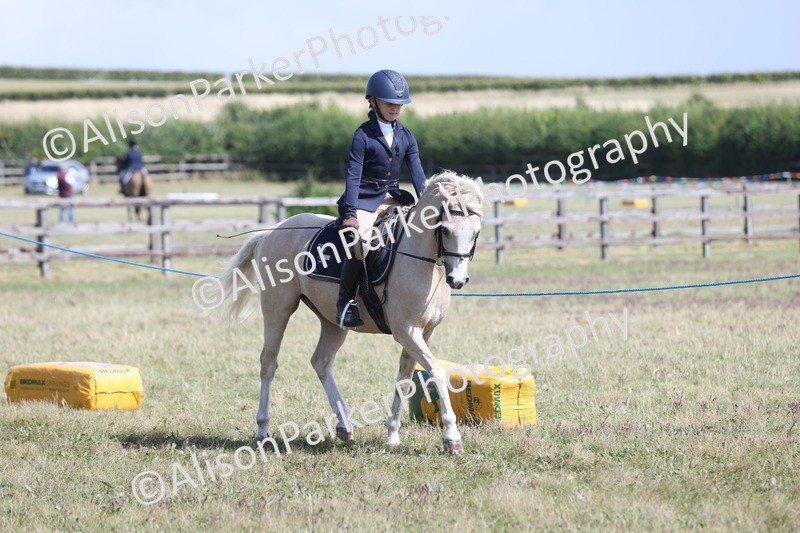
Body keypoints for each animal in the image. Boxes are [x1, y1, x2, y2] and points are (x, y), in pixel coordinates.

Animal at [216, 171, 484, 454]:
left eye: (476, 232)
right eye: (445, 229)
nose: (457, 280)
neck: (421, 262)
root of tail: (272, 232)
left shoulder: (424, 332)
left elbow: (405, 379)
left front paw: (392, 435)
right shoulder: (406, 331)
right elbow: (437, 372)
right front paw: (452, 437)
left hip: (332, 322)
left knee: (321, 362)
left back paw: (344, 426)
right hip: (278, 310)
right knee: (269, 363)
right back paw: (263, 429)